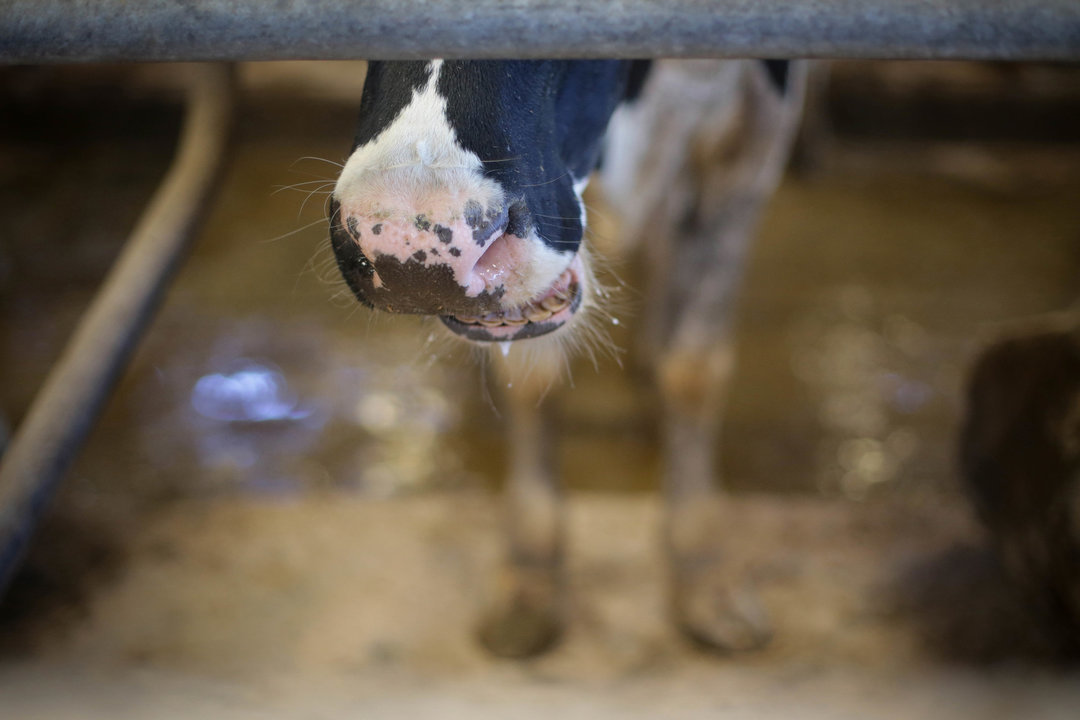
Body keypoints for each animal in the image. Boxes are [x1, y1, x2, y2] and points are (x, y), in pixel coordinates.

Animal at [332, 60, 807, 660]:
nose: (406, 249)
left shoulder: (756, 132)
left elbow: (694, 368)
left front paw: (704, 574)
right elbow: (531, 375)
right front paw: (531, 576)